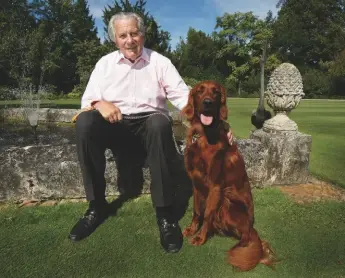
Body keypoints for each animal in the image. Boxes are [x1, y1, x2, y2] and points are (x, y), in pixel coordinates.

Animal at [181, 80, 276, 272]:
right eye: (200, 91)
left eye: (216, 92)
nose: (208, 102)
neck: (204, 135)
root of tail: (251, 227)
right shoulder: (196, 183)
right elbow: (197, 211)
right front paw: (192, 229)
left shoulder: (215, 186)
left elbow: (207, 214)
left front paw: (200, 237)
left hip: (227, 202)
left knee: (245, 238)